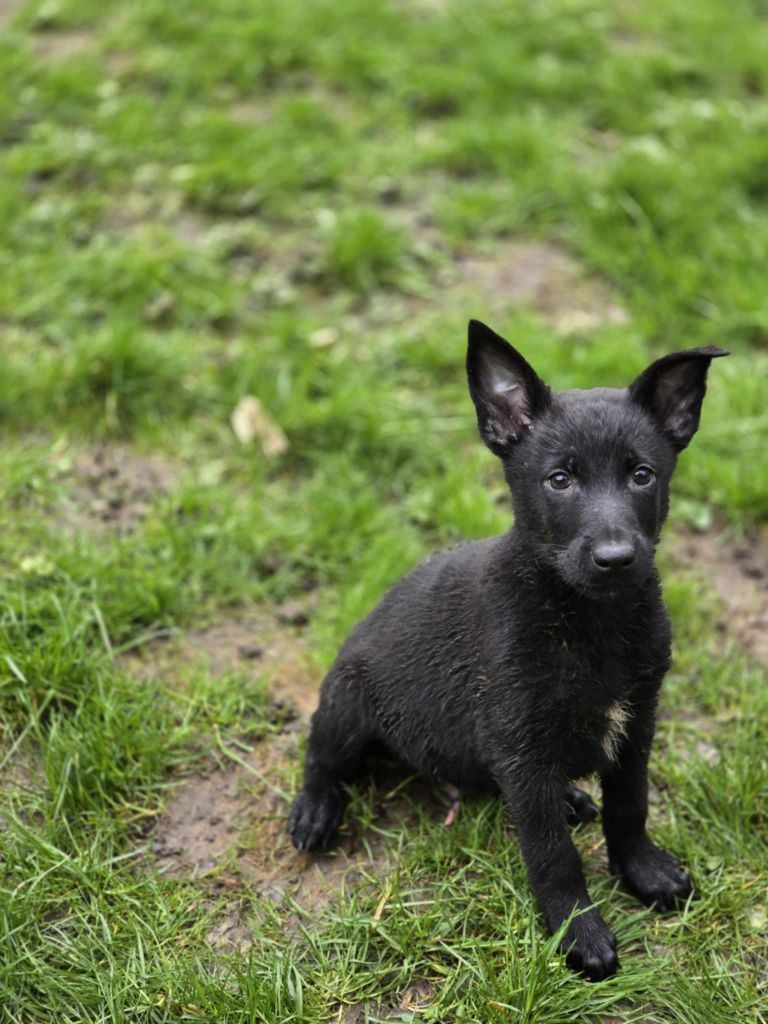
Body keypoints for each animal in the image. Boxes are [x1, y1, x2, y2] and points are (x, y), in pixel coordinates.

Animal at [288, 319, 729, 974]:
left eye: (642, 474)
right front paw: (578, 930)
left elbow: (630, 805)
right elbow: (552, 854)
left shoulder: (636, 723)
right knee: (322, 756)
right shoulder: (520, 739)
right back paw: (315, 809)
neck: (585, 619)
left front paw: (642, 870)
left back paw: (569, 798)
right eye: (560, 479)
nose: (616, 559)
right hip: (347, 700)